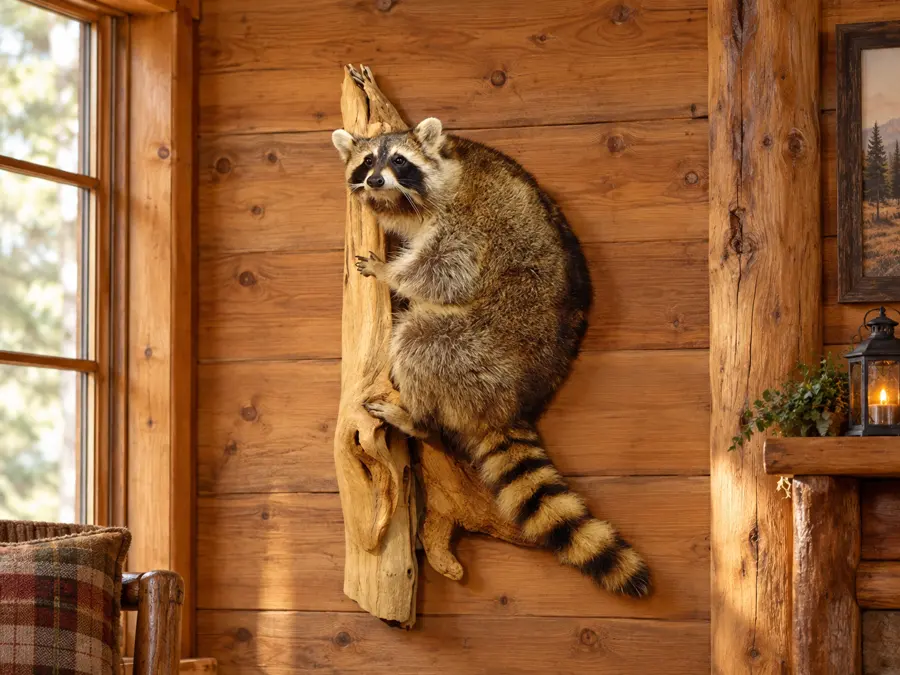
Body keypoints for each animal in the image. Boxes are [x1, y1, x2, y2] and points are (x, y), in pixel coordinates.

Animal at [332, 118, 651, 598]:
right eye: (368, 161)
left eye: (399, 161)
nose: (374, 181)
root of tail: (511, 401)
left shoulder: (465, 223)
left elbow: (446, 271)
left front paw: (392, 273)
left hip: (488, 342)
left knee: (425, 339)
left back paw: (416, 415)